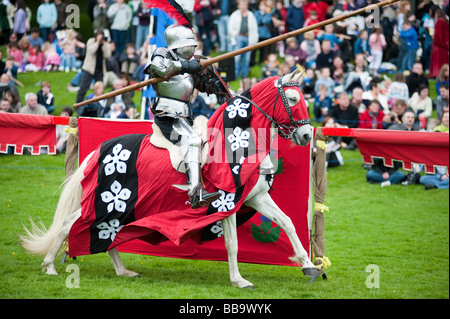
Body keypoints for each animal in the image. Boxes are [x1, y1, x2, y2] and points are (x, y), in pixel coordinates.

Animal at [19, 70, 318, 290]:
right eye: (292, 99)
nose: (306, 135)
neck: (239, 143)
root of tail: (99, 150)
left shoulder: (256, 197)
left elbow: (288, 223)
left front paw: (309, 266)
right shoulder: (227, 202)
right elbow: (232, 244)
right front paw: (239, 280)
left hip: (122, 208)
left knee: (105, 231)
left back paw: (122, 270)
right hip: (105, 202)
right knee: (70, 225)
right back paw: (50, 266)